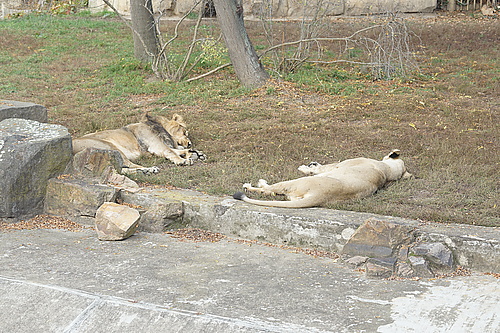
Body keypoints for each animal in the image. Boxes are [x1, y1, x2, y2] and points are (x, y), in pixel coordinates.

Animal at [72, 113, 205, 174]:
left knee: (121, 169)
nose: (190, 143)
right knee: (123, 168)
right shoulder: (156, 145)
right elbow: (171, 151)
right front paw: (183, 160)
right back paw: (149, 169)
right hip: (110, 147)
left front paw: (196, 153)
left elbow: (176, 150)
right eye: (184, 132)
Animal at [232, 148, 412, 206]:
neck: (387, 171)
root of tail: (321, 196)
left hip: (295, 182)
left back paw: (254, 185)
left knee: (270, 189)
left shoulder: (339, 165)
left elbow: (322, 168)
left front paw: (306, 167)